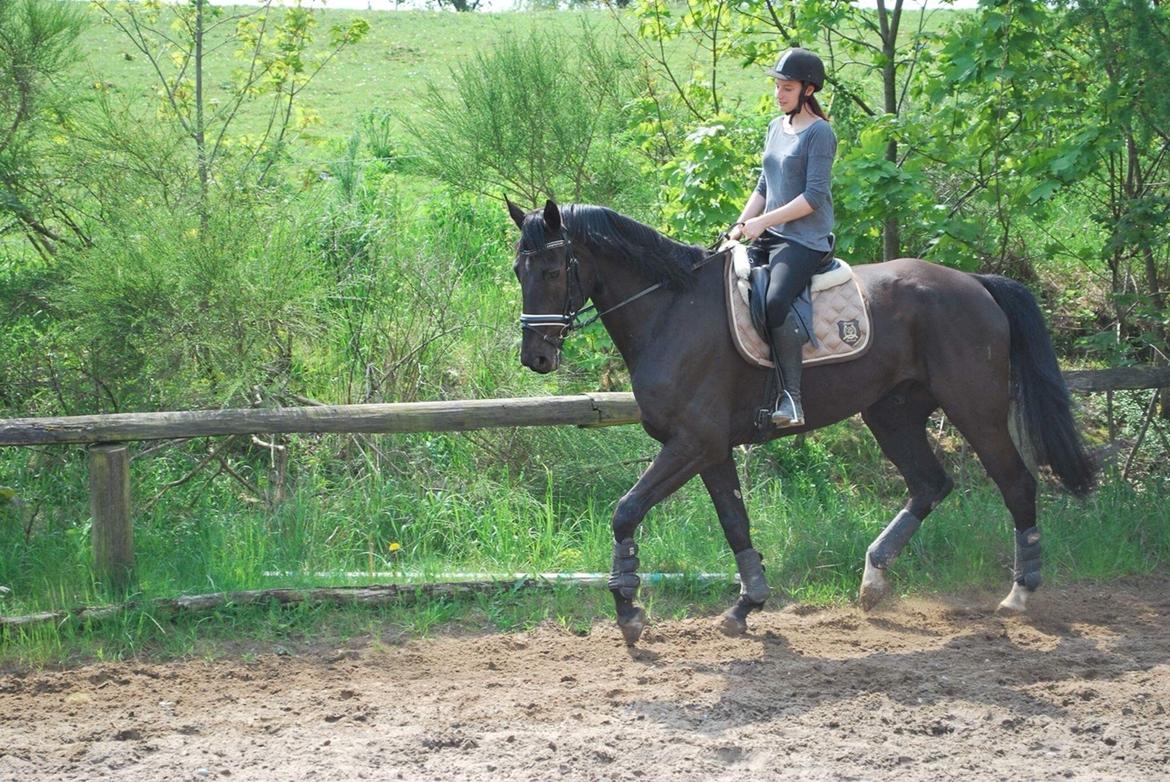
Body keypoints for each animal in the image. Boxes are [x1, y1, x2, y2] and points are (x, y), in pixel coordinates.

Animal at [505, 199, 1095, 646]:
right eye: (518, 271)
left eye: (553, 271)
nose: (536, 357)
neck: (670, 311)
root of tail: (974, 282)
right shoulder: (710, 449)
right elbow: (735, 524)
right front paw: (746, 606)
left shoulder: (691, 443)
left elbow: (626, 511)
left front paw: (629, 612)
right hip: (892, 412)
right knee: (930, 484)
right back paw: (873, 581)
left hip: (975, 407)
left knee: (1015, 483)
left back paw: (1019, 593)